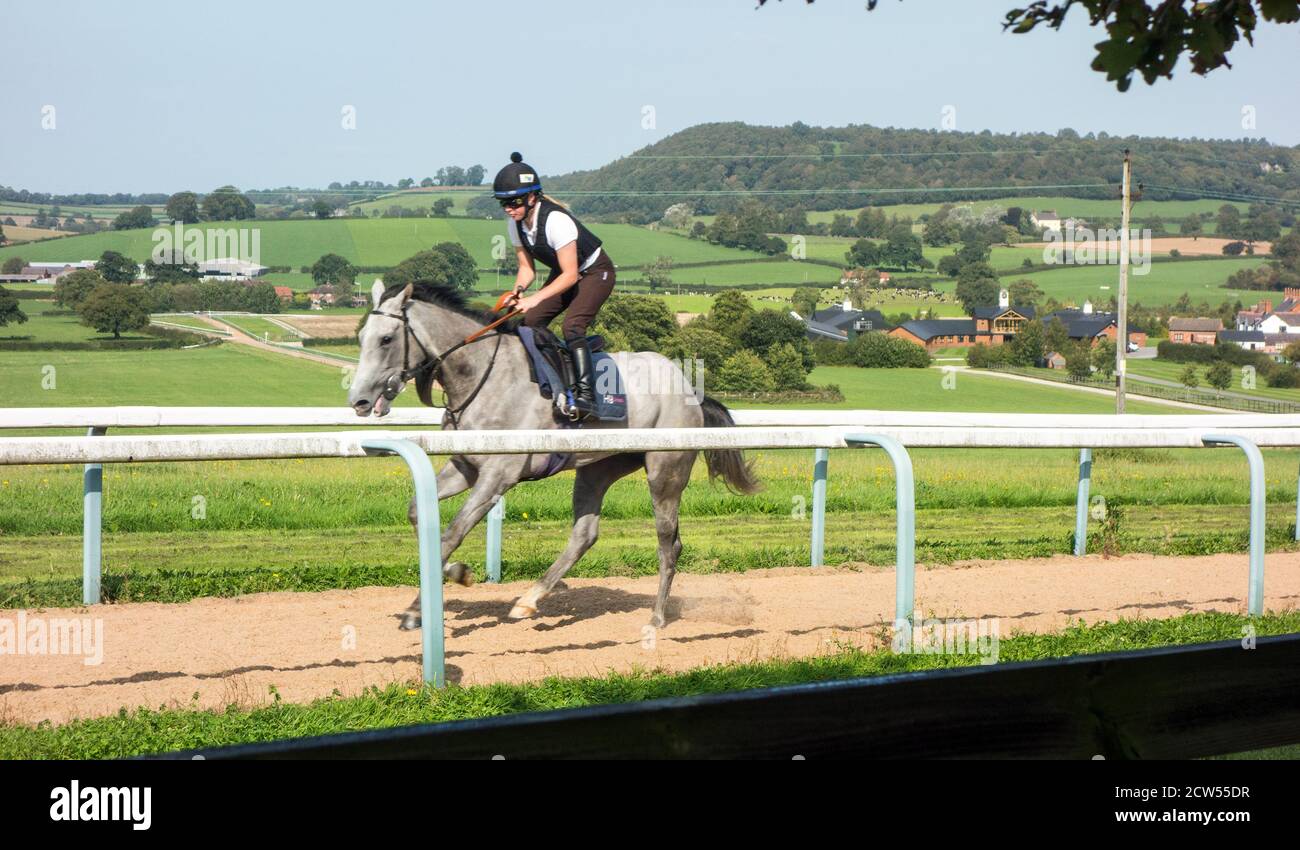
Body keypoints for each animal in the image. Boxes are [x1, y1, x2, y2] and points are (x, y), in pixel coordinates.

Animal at [345, 276, 759, 629]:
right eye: (361, 336)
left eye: (386, 339)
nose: (359, 401)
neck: (481, 374)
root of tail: (689, 388)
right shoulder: (465, 466)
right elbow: (419, 515)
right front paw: (444, 585)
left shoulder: (499, 475)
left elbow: (452, 533)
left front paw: (432, 596)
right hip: (598, 467)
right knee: (585, 533)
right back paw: (529, 600)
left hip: (665, 471)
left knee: (668, 542)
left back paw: (656, 617)